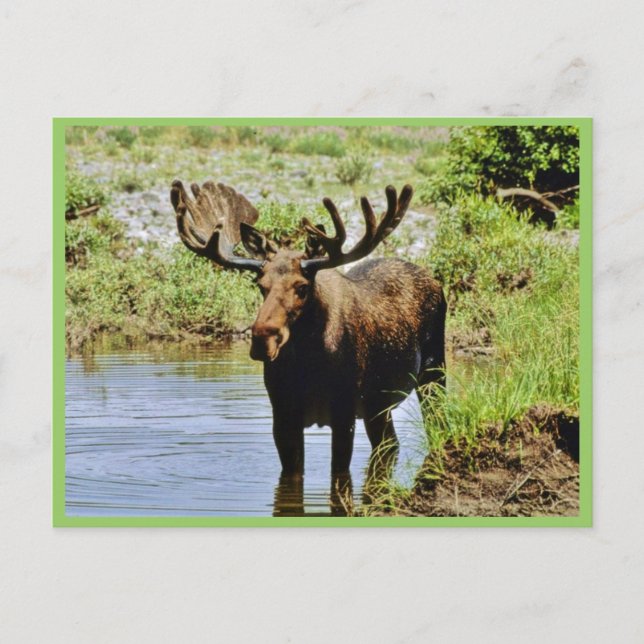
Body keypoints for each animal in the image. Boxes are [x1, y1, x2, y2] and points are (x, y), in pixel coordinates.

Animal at [170, 180, 446, 479]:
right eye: (260, 284)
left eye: (302, 287)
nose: (263, 339)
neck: (308, 365)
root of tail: (432, 278)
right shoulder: (283, 416)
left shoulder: (344, 412)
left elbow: (339, 474)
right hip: (378, 405)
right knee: (389, 445)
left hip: (433, 372)